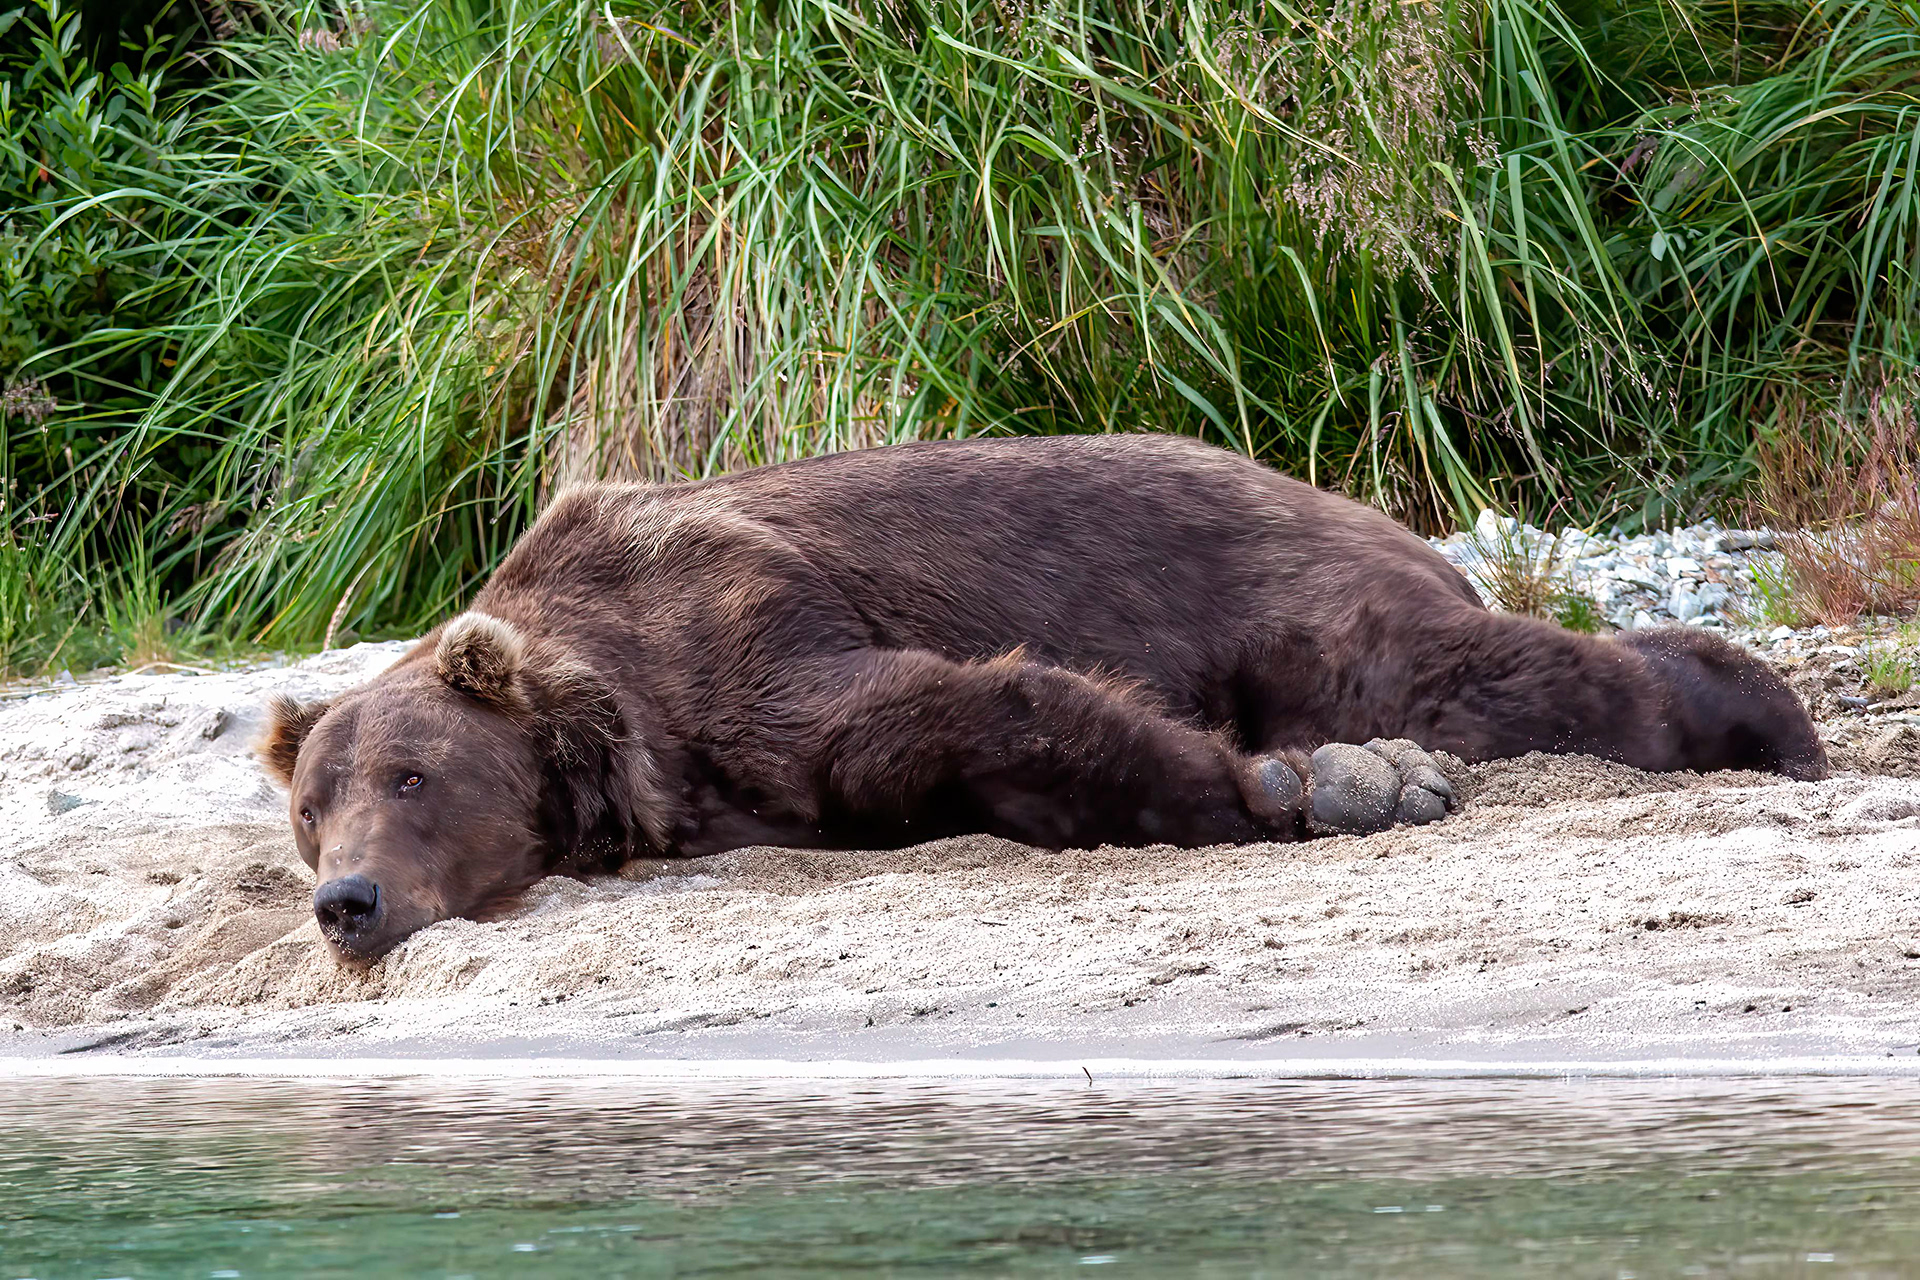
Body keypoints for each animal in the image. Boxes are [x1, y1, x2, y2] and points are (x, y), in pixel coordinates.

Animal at [257, 434, 1828, 964]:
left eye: (410, 775)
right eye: (310, 810)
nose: (349, 902)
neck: (621, 731)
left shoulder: (733, 627)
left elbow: (945, 706)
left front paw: (1282, 784)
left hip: (1284, 582)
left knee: (1444, 665)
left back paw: (1761, 713)